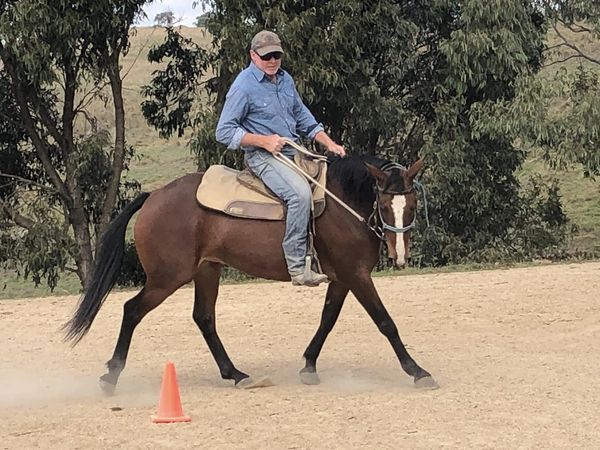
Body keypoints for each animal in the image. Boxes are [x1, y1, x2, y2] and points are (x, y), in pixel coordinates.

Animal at [63, 155, 438, 394]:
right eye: (386, 205)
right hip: (167, 278)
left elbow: (327, 319)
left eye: (412, 204)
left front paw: (309, 366)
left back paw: (236, 374)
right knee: (132, 310)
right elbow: (385, 322)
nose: (399, 255)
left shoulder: (343, 278)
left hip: (206, 271)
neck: (344, 204)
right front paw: (418, 372)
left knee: (204, 318)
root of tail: (154, 196)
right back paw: (111, 377)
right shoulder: (356, 275)